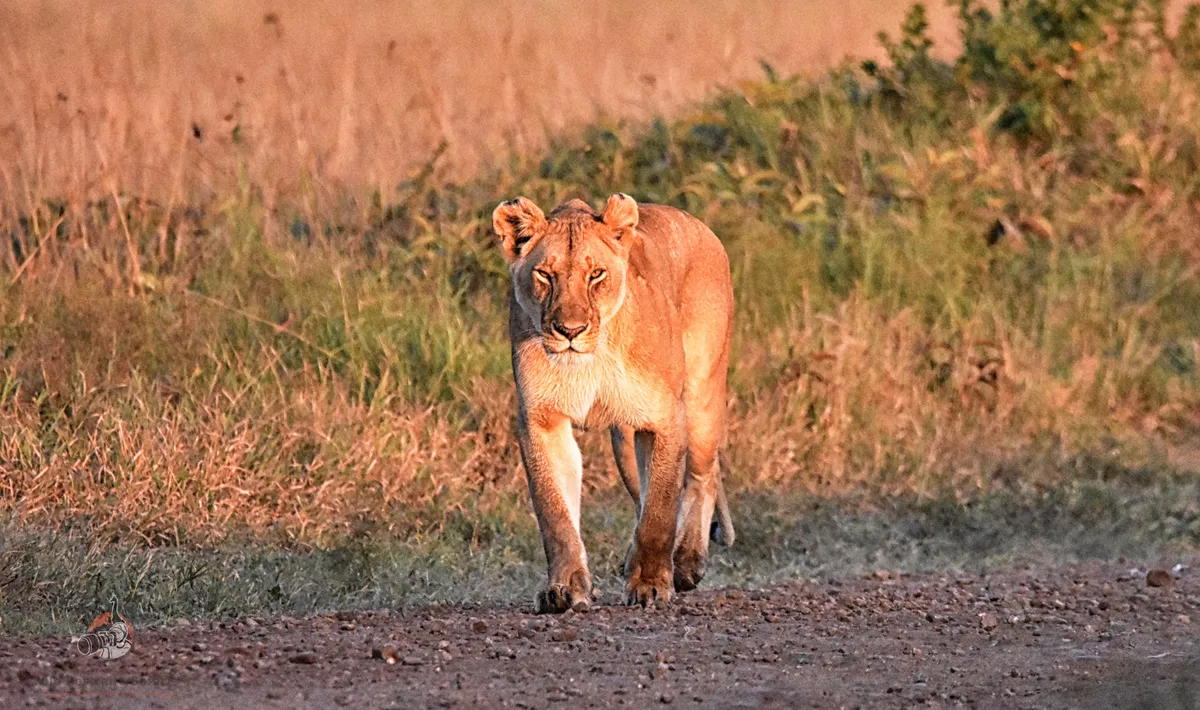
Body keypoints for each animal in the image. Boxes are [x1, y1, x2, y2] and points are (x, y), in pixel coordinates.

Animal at [492, 193, 735, 613]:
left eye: (596, 275)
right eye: (545, 275)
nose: (570, 331)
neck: (591, 358)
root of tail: (701, 226)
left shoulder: (664, 418)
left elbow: (659, 512)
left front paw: (651, 584)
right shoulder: (541, 421)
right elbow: (555, 512)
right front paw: (564, 588)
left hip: (701, 395)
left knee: (702, 475)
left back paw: (687, 561)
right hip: (624, 440)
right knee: (643, 492)